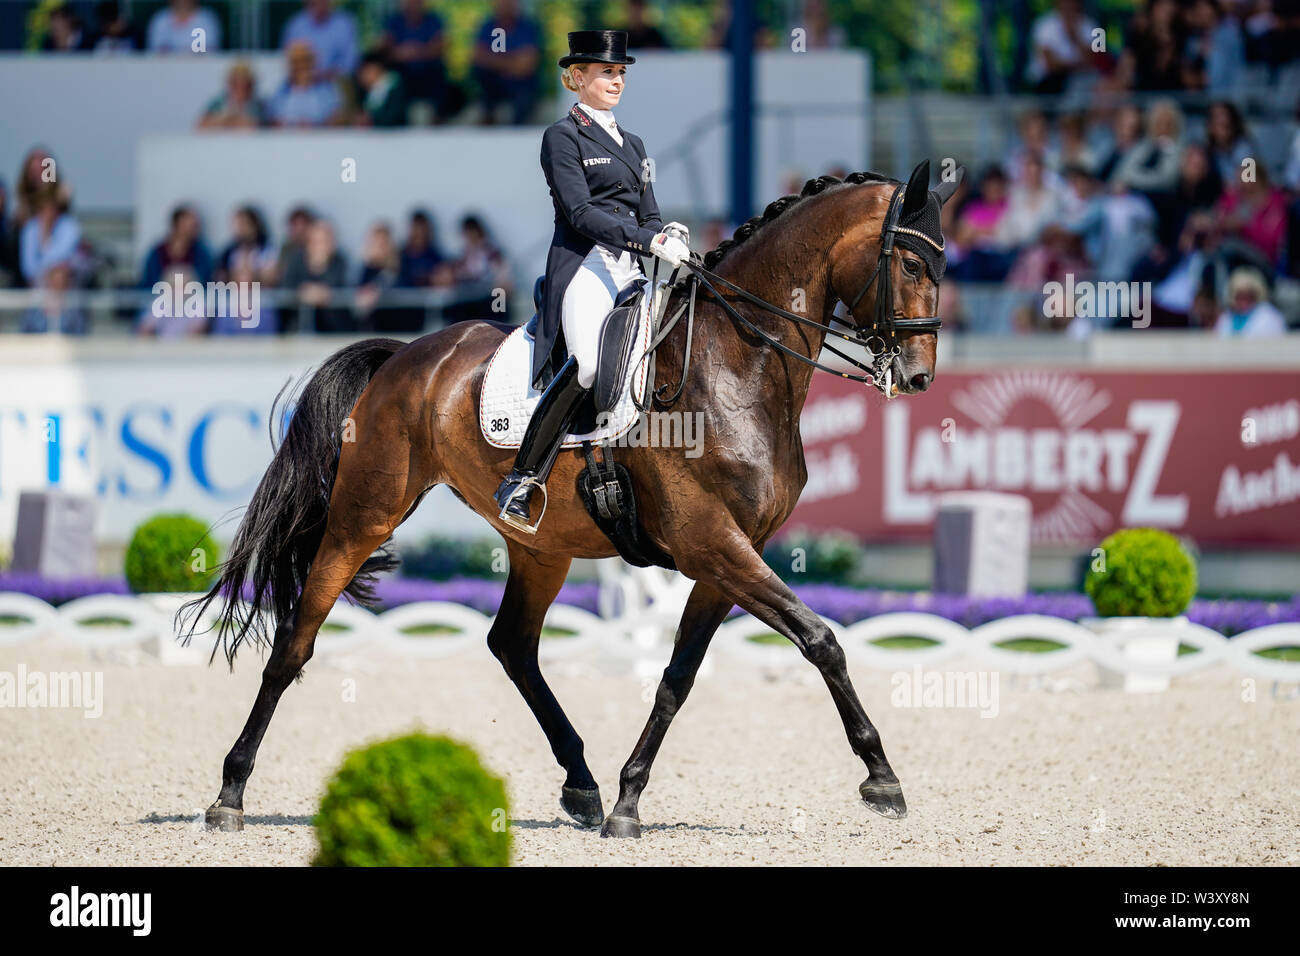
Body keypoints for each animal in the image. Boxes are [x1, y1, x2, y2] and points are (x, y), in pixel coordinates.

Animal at [180, 158, 967, 837]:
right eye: (911, 264)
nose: (920, 377)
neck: (737, 365)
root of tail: (405, 354)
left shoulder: (729, 556)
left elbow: (678, 677)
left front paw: (626, 799)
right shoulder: (712, 543)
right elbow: (820, 639)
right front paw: (882, 777)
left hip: (541, 544)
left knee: (512, 645)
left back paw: (582, 786)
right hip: (363, 514)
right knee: (295, 640)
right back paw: (230, 794)